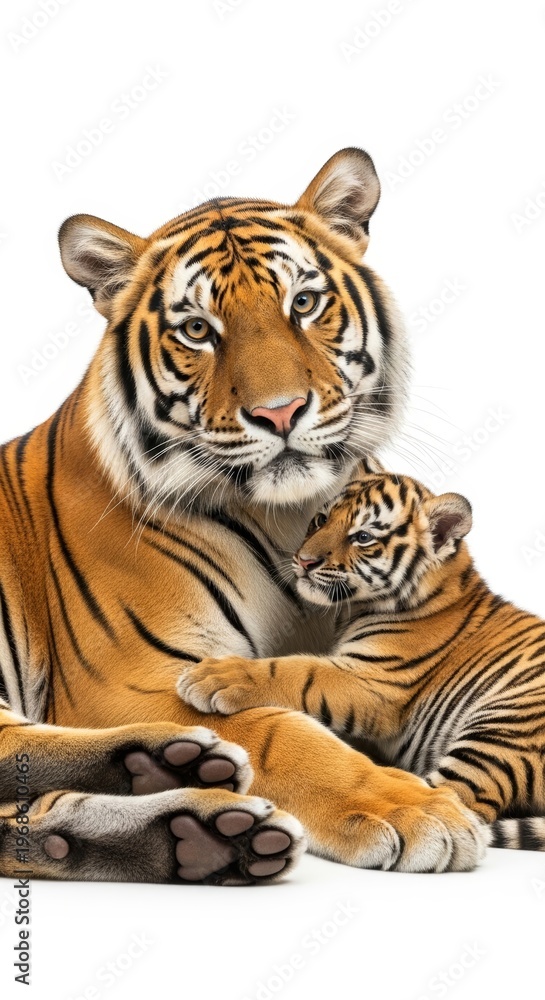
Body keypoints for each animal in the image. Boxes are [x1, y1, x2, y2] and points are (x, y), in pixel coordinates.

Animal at [0, 148, 487, 886]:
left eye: (304, 304)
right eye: (198, 330)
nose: (279, 413)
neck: (289, 517)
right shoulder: (125, 682)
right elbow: (279, 727)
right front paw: (414, 809)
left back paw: (190, 829)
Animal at [180, 468, 545, 851]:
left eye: (363, 537)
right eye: (321, 520)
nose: (304, 561)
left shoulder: (376, 679)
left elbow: (297, 670)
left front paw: (215, 675)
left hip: (502, 728)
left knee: (460, 801)